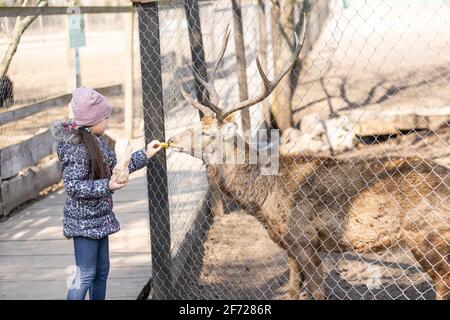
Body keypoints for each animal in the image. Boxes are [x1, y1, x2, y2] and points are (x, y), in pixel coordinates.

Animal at [169, 19, 450, 300]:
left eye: (206, 133)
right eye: (198, 123)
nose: (171, 139)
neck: (264, 200)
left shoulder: (304, 239)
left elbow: (316, 291)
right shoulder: (291, 245)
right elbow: (293, 289)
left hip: (426, 234)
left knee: (442, 283)